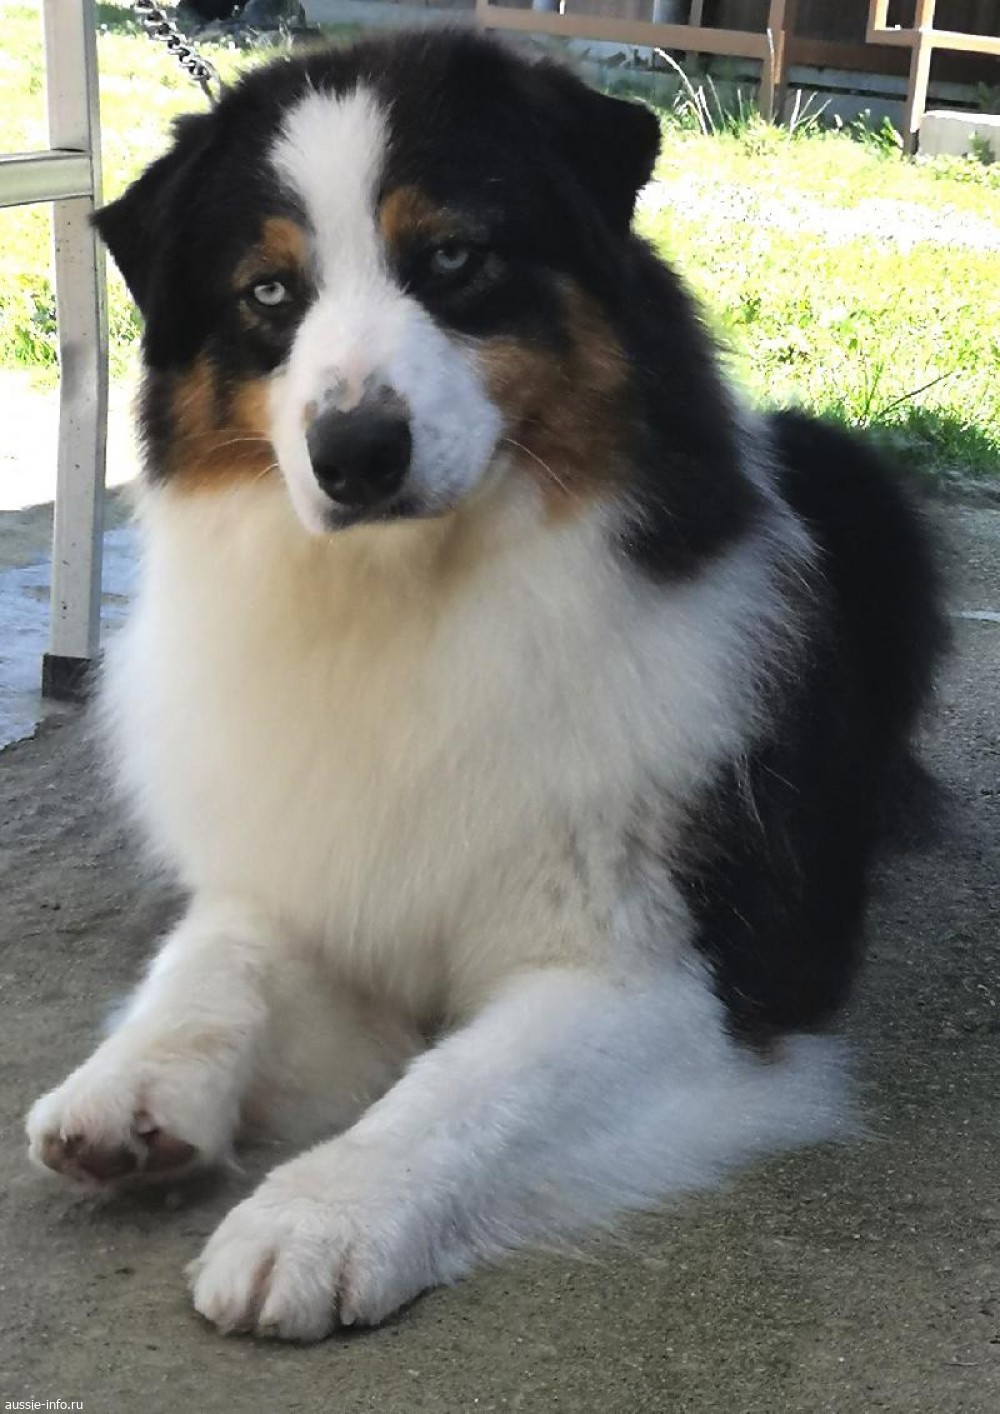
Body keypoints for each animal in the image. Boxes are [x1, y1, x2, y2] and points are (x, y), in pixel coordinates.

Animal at [26, 30, 943, 1340]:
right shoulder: (310, 867)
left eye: (453, 257)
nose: (355, 455)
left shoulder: (670, 977)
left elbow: (459, 1086)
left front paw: (316, 1218)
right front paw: (132, 1079)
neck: (408, 597)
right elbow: (217, 952)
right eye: (268, 293)